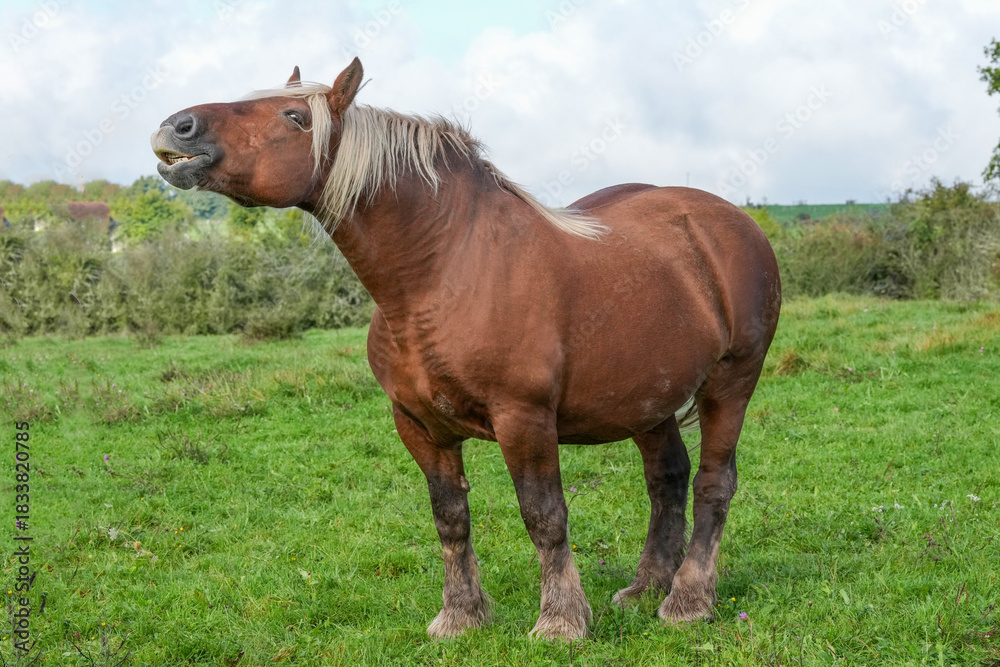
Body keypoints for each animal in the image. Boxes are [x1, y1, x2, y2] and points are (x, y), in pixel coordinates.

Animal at [151, 58, 781, 640]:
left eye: (293, 117)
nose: (177, 127)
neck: (441, 274)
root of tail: (729, 223)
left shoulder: (524, 419)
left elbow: (544, 516)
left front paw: (561, 620)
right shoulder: (418, 426)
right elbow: (450, 519)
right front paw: (460, 615)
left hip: (731, 383)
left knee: (713, 483)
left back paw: (688, 599)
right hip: (647, 398)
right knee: (667, 478)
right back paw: (648, 586)